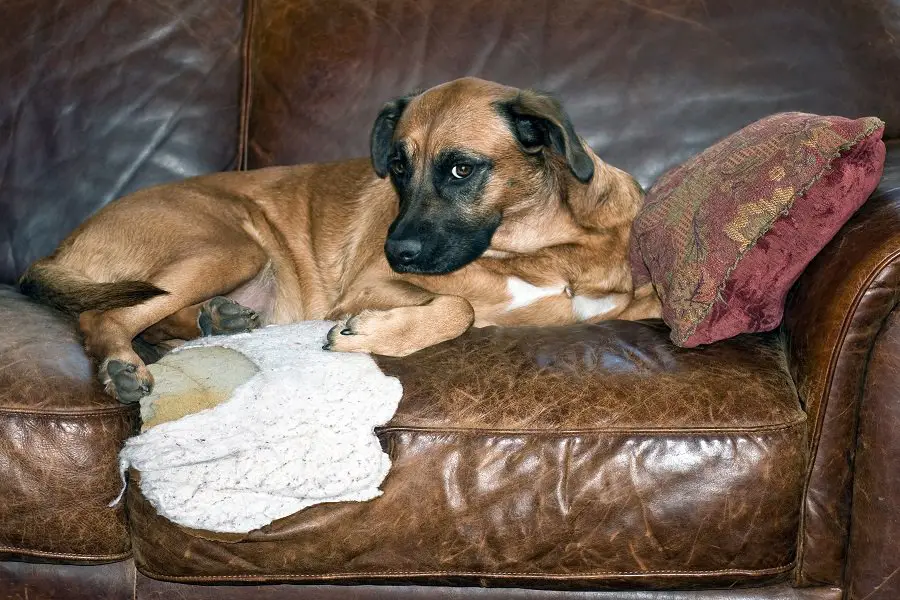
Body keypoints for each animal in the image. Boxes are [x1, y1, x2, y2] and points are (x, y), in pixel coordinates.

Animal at [15, 76, 660, 404]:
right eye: (397, 167)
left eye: (460, 169)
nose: (396, 252)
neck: (545, 247)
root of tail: (58, 248)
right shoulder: (370, 286)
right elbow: (458, 306)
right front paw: (367, 334)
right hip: (232, 246)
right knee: (103, 316)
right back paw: (124, 364)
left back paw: (216, 320)